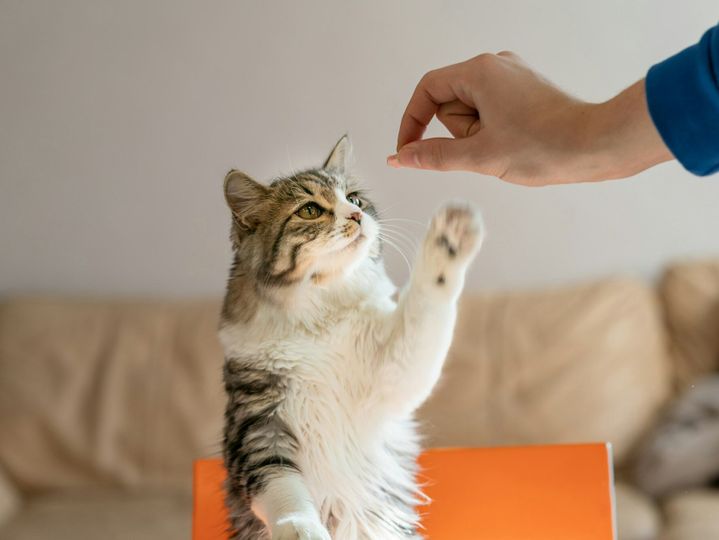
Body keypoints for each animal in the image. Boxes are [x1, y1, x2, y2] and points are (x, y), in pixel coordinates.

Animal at [217, 137, 480, 536]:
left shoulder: (391, 375)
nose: (357, 216)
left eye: (354, 199)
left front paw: (449, 237)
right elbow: (283, 490)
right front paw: (301, 530)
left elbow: (427, 303)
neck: (320, 322)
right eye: (310, 210)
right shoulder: (258, 422)